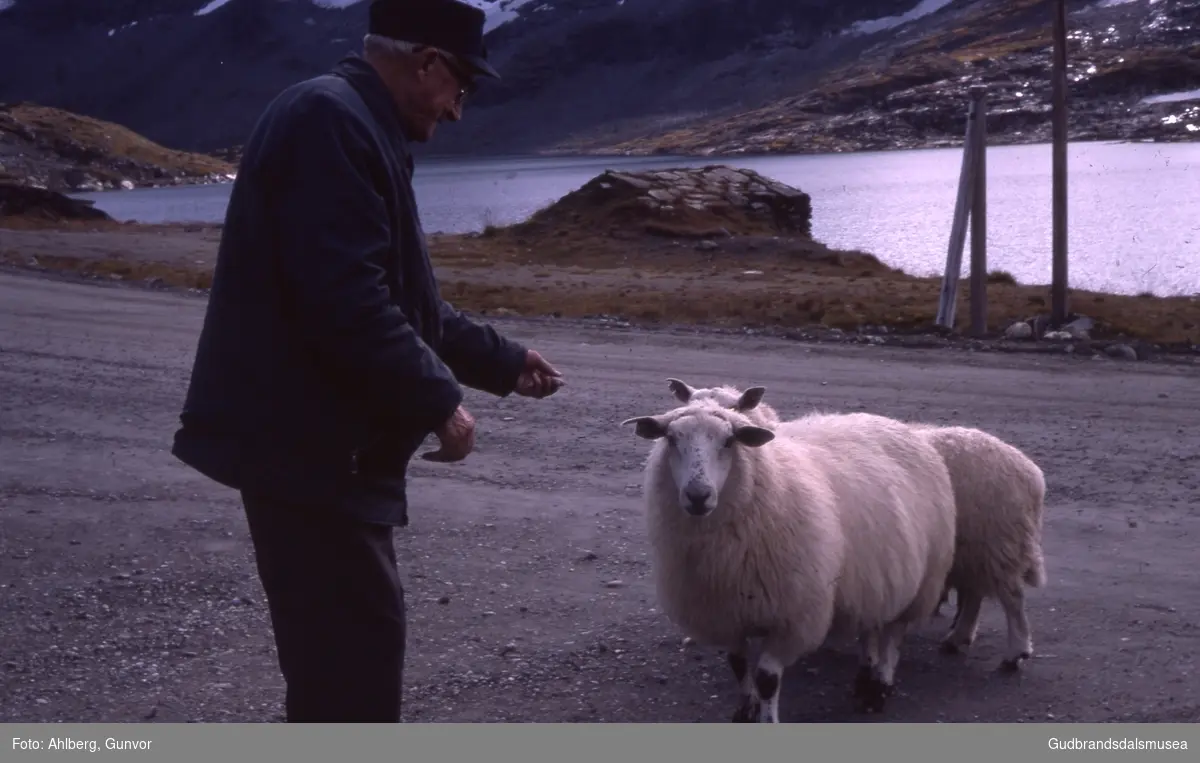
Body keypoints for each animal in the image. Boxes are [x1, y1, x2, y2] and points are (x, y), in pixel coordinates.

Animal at [624, 403, 950, 724]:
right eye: (670, 439)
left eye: (729, 441)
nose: (698, 495)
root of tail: (895, 423)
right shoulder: (727, 614)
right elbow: (737, 663)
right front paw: (745, 709)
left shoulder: (793, 618)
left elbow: (767, 679)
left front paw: (767, 718)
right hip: (873, 575)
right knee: (869, 625)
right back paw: (864, 678)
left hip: (924, 579)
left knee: (893, 637)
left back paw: (879, 688)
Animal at [667, 379, 1051, 671]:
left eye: (733, 411)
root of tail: (1031, 473)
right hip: (975, 549)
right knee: (975, 594)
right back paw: (958, 639)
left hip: (995, 542)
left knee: (1011, 597)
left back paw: (1015, 653)